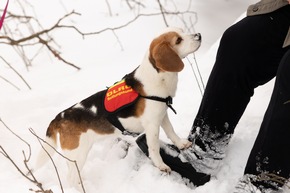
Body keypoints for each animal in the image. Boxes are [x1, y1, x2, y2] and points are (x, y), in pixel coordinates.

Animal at [35, 26, 201, 184]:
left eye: (182, 32)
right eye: (178, 40)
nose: (199, 35)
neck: (157, 77)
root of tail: (60, 117)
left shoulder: (162, 114)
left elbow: (171, 131)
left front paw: (181, 144)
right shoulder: (152, 125)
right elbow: (154, 149)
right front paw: (161, 166)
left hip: (73, 158)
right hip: (79, 154)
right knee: (71, 179)